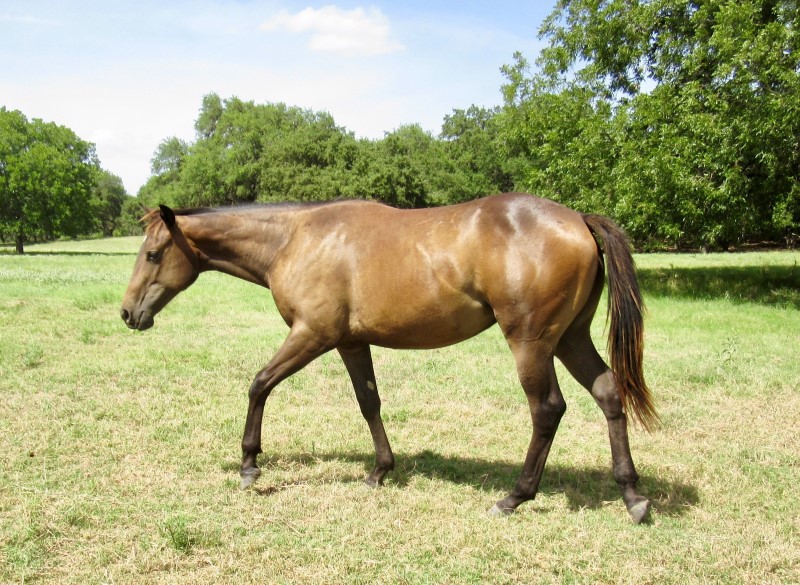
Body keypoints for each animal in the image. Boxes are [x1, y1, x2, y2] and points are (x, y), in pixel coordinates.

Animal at [120, 194, 656, 524]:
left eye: (152, 254)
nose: (128, 313)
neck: (295, 238)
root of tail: (578, 220)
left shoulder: (311, 335)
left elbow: (259, 384)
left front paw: (250, 464)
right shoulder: (350, 343)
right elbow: (369, 402)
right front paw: (380, 470)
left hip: (531, 342)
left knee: (546, 410)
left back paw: (514, 497)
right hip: (570, 339)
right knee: (609, 394)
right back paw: (632, 495)